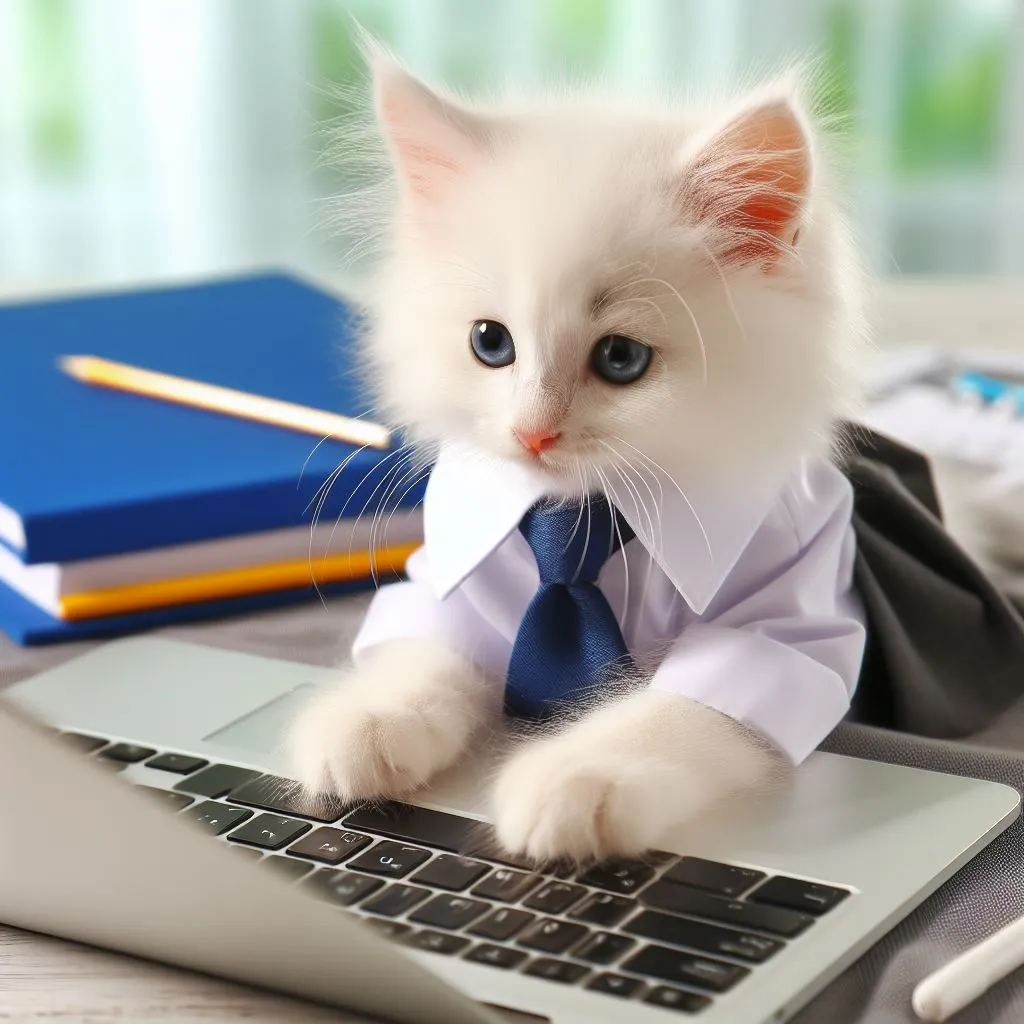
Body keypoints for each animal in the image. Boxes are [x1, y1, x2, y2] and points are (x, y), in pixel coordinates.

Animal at [288, 39, 864, 860]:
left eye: (622, 359)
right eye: (490, 343)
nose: (533, 432)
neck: (583, 515)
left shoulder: (780, 621)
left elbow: (672, 714)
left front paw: (569, 782)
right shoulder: (461, 583)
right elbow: (427, 655)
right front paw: (363, 725)